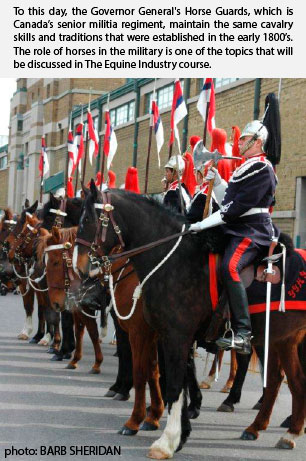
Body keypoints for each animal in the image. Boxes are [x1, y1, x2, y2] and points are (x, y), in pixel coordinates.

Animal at [75, 183, 304, 456]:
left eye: (87, 219)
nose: (81, 270)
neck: (172, 262)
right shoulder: (167, 335)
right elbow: (174, 378)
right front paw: (180, 432)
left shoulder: (170, 335)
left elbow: (167, 381)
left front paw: (164, 439)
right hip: (280, 340)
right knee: (288, 380)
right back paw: (277, 431)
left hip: (279, 341)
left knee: (285, 380)